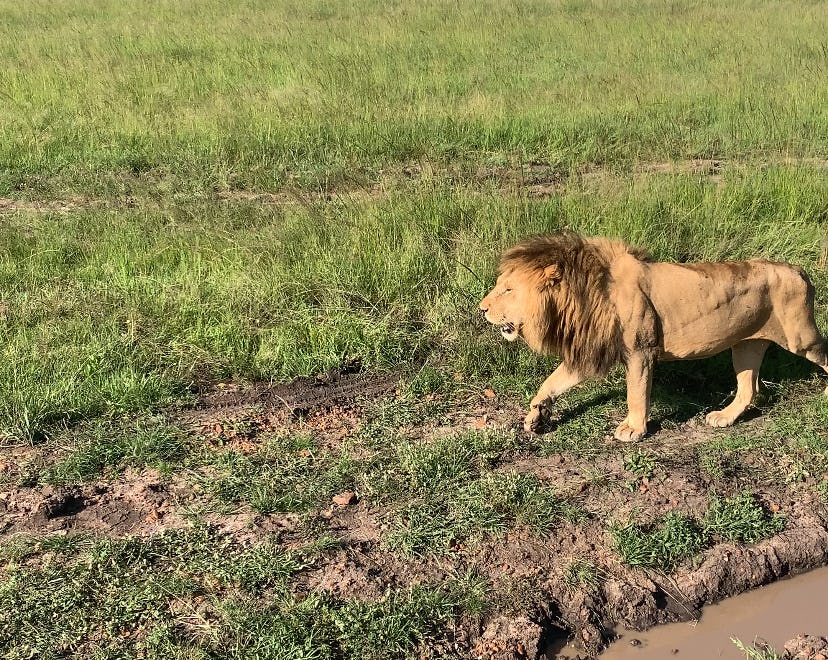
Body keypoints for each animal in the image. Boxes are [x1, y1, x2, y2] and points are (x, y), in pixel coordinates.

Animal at [479, 233, 828, 441]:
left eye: (508, 290)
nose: (481, 308)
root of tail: (799, 269)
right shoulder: (592, 349)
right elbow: (551, 382)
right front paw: (536, 416)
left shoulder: (640, 352)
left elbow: (636, 393)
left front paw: (633, 430)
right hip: (746, 345)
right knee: (748, 388)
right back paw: (724, 418)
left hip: (800, 337)